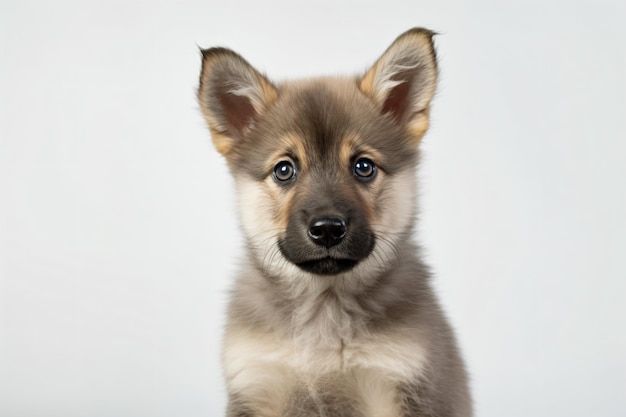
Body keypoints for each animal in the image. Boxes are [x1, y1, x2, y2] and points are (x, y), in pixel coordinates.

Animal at [197, 27, 470, 414]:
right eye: (284, 170)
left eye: (363, 166)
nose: (327, 229)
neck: (324, 306)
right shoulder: (256, 383)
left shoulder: (403, 384)